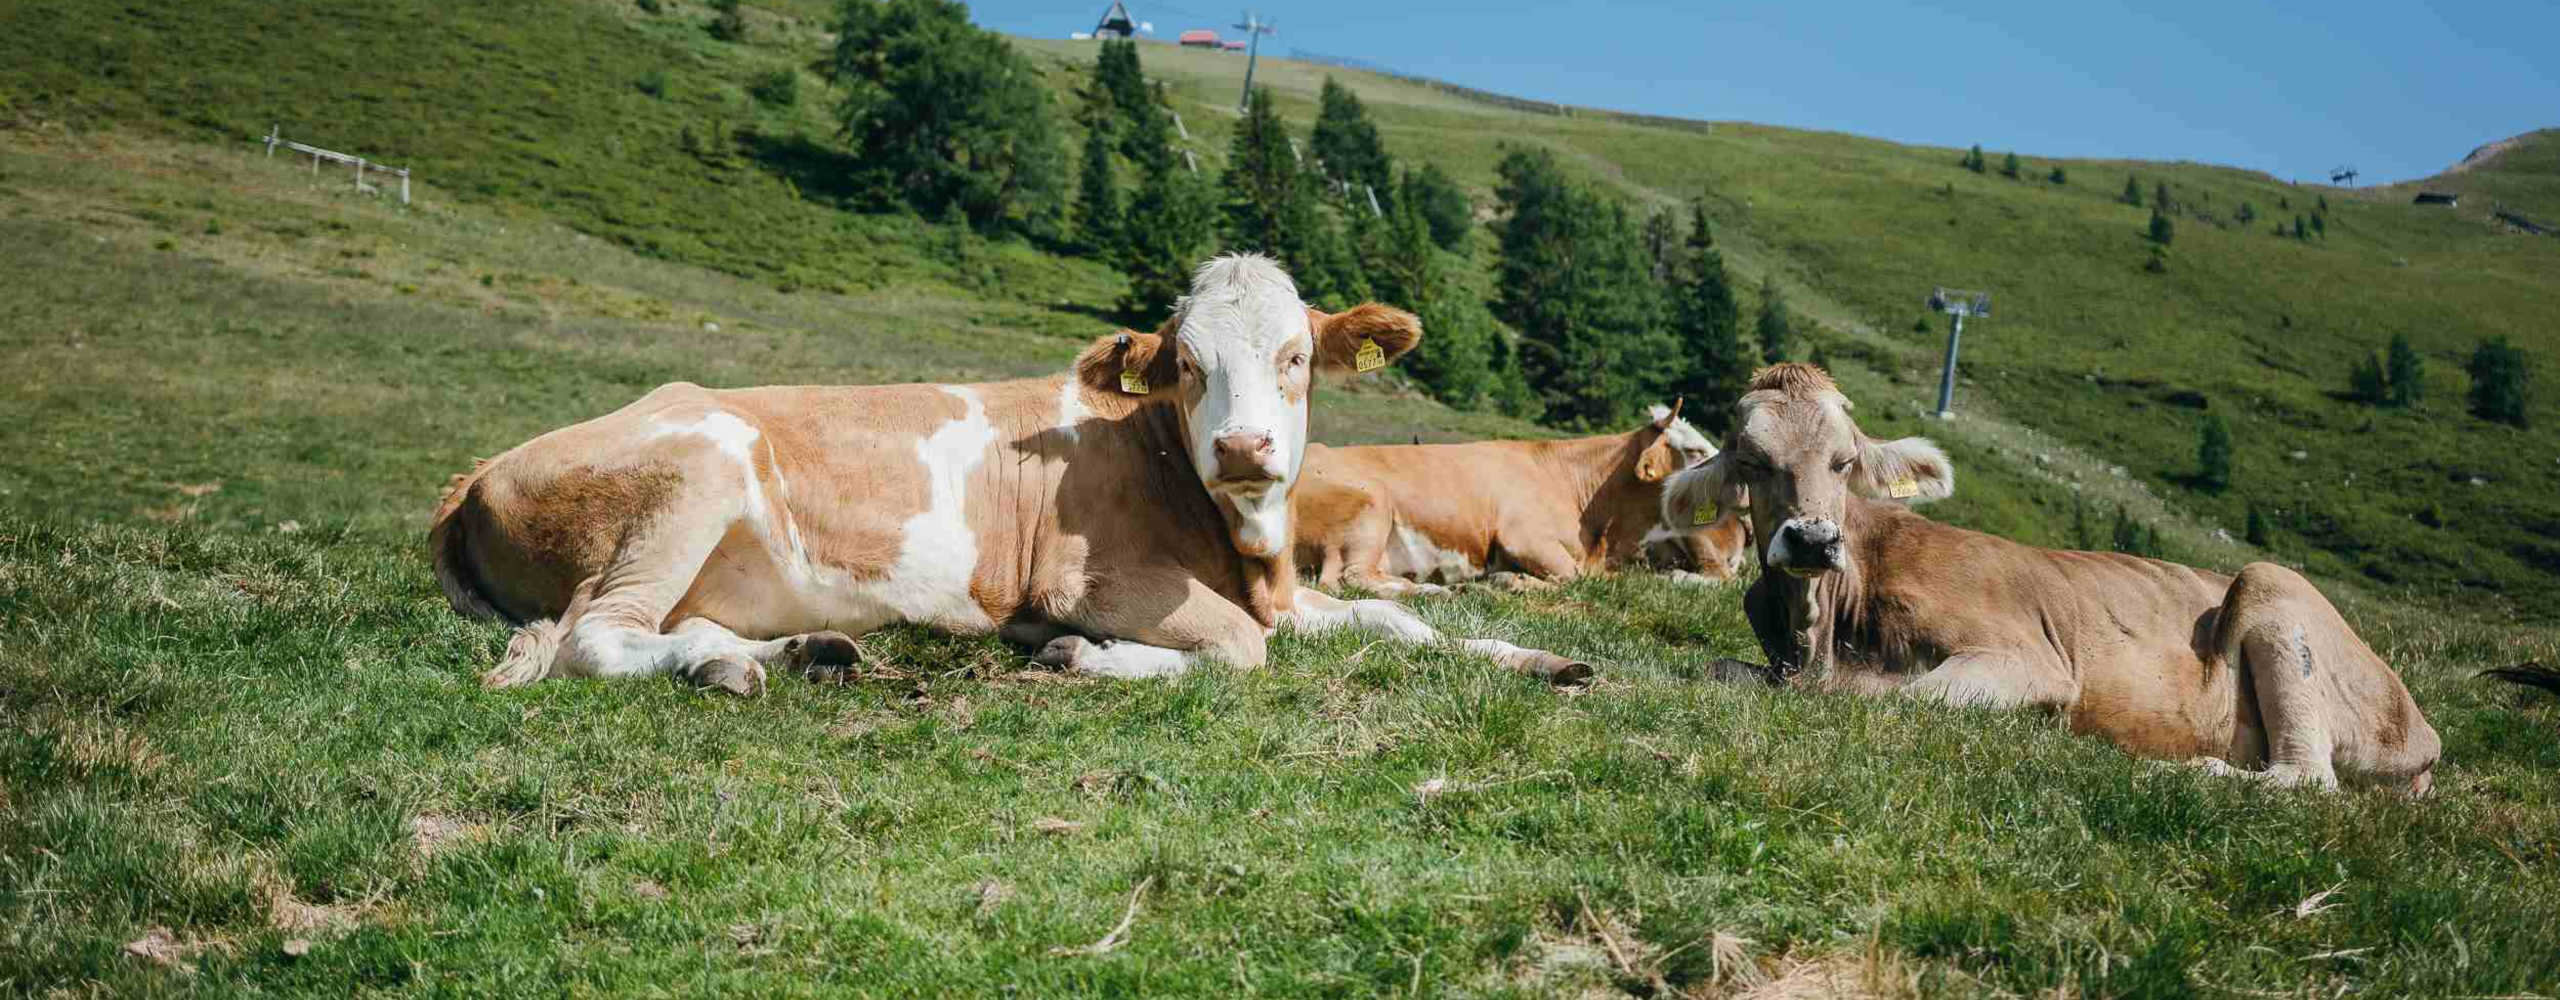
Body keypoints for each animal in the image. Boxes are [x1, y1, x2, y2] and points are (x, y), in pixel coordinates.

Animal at [429, 255, 1592, 693]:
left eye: (1295, 355)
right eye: (1185, 365)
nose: (1243, 449)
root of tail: (485, 464)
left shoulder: (1290, 586)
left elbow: (1401, 622)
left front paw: (1535, 655)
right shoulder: (1088, 580)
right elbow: (1239, 648)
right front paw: (1083, 655)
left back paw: (798, 650)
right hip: (688, 483)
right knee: (598, 635)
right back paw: (733, 666)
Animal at [1291, 403, 1749, 597]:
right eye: (1694, 450)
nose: (1745, 488)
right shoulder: (1525, 537)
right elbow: (1573, 578)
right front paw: (1511, 580)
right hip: (1373, 506)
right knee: (1348, 577)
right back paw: (1433, 590)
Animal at [1659, 364, 2439, 794]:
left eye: (1845, 462)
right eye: (1752, 460)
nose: (1815, 538)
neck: (1822, 636)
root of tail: (2421, 731)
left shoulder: (2031, 660)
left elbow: (1914, 696)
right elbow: (1714, 670)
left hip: (2277, 589)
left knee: (2308, 776)